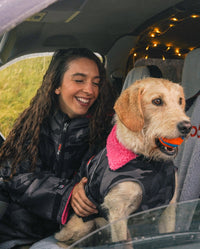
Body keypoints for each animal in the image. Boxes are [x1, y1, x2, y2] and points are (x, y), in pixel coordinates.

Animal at [55, 77, 192, 247]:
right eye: (157, 101)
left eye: (180, 101)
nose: (187, 126)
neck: (149, 162)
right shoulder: (118, 213)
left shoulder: (169, 208)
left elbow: (169, 234)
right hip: (81, 225)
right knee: (61, 240)